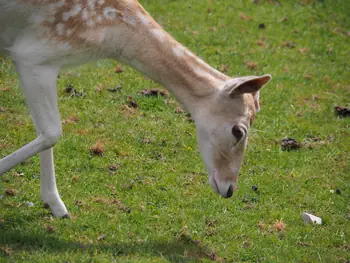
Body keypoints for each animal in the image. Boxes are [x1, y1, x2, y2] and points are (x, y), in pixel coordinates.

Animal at [0, 0, 272, 219]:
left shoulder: (41, 59)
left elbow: (44, 132)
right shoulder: (32, 55)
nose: (229, 188)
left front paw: (58, 208)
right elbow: (52, 132)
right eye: (238, 131)